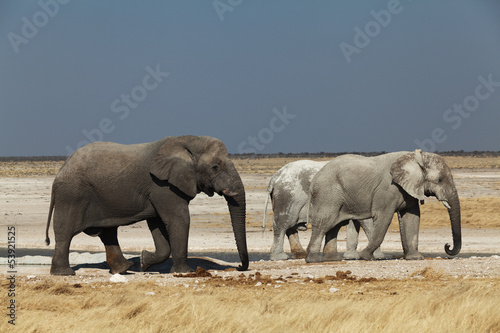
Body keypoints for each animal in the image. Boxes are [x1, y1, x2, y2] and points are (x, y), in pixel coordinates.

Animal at [45, 135, 248, 274]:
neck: (187, 140)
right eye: (215, 167)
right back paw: (65, 274)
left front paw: (144, 261)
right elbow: (179, 219)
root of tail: (62, 168)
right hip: (72, 195)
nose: (239, 267)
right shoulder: (163, 185)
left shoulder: (159, 189)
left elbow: (157, 223)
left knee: (108, 232)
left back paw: (125, 268)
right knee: (66, 232)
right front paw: (184, 272)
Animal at [306, 148, 462, 262]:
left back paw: (333, 259)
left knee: (334, 226)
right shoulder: (387, 188)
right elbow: (384, 218)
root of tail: (314, 180)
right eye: (440, 180)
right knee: (324, 223)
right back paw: (313, 260)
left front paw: (416, 258)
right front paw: (366, 257)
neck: (416, 157)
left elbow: (412, 218)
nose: (447, 245)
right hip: (328, 194)